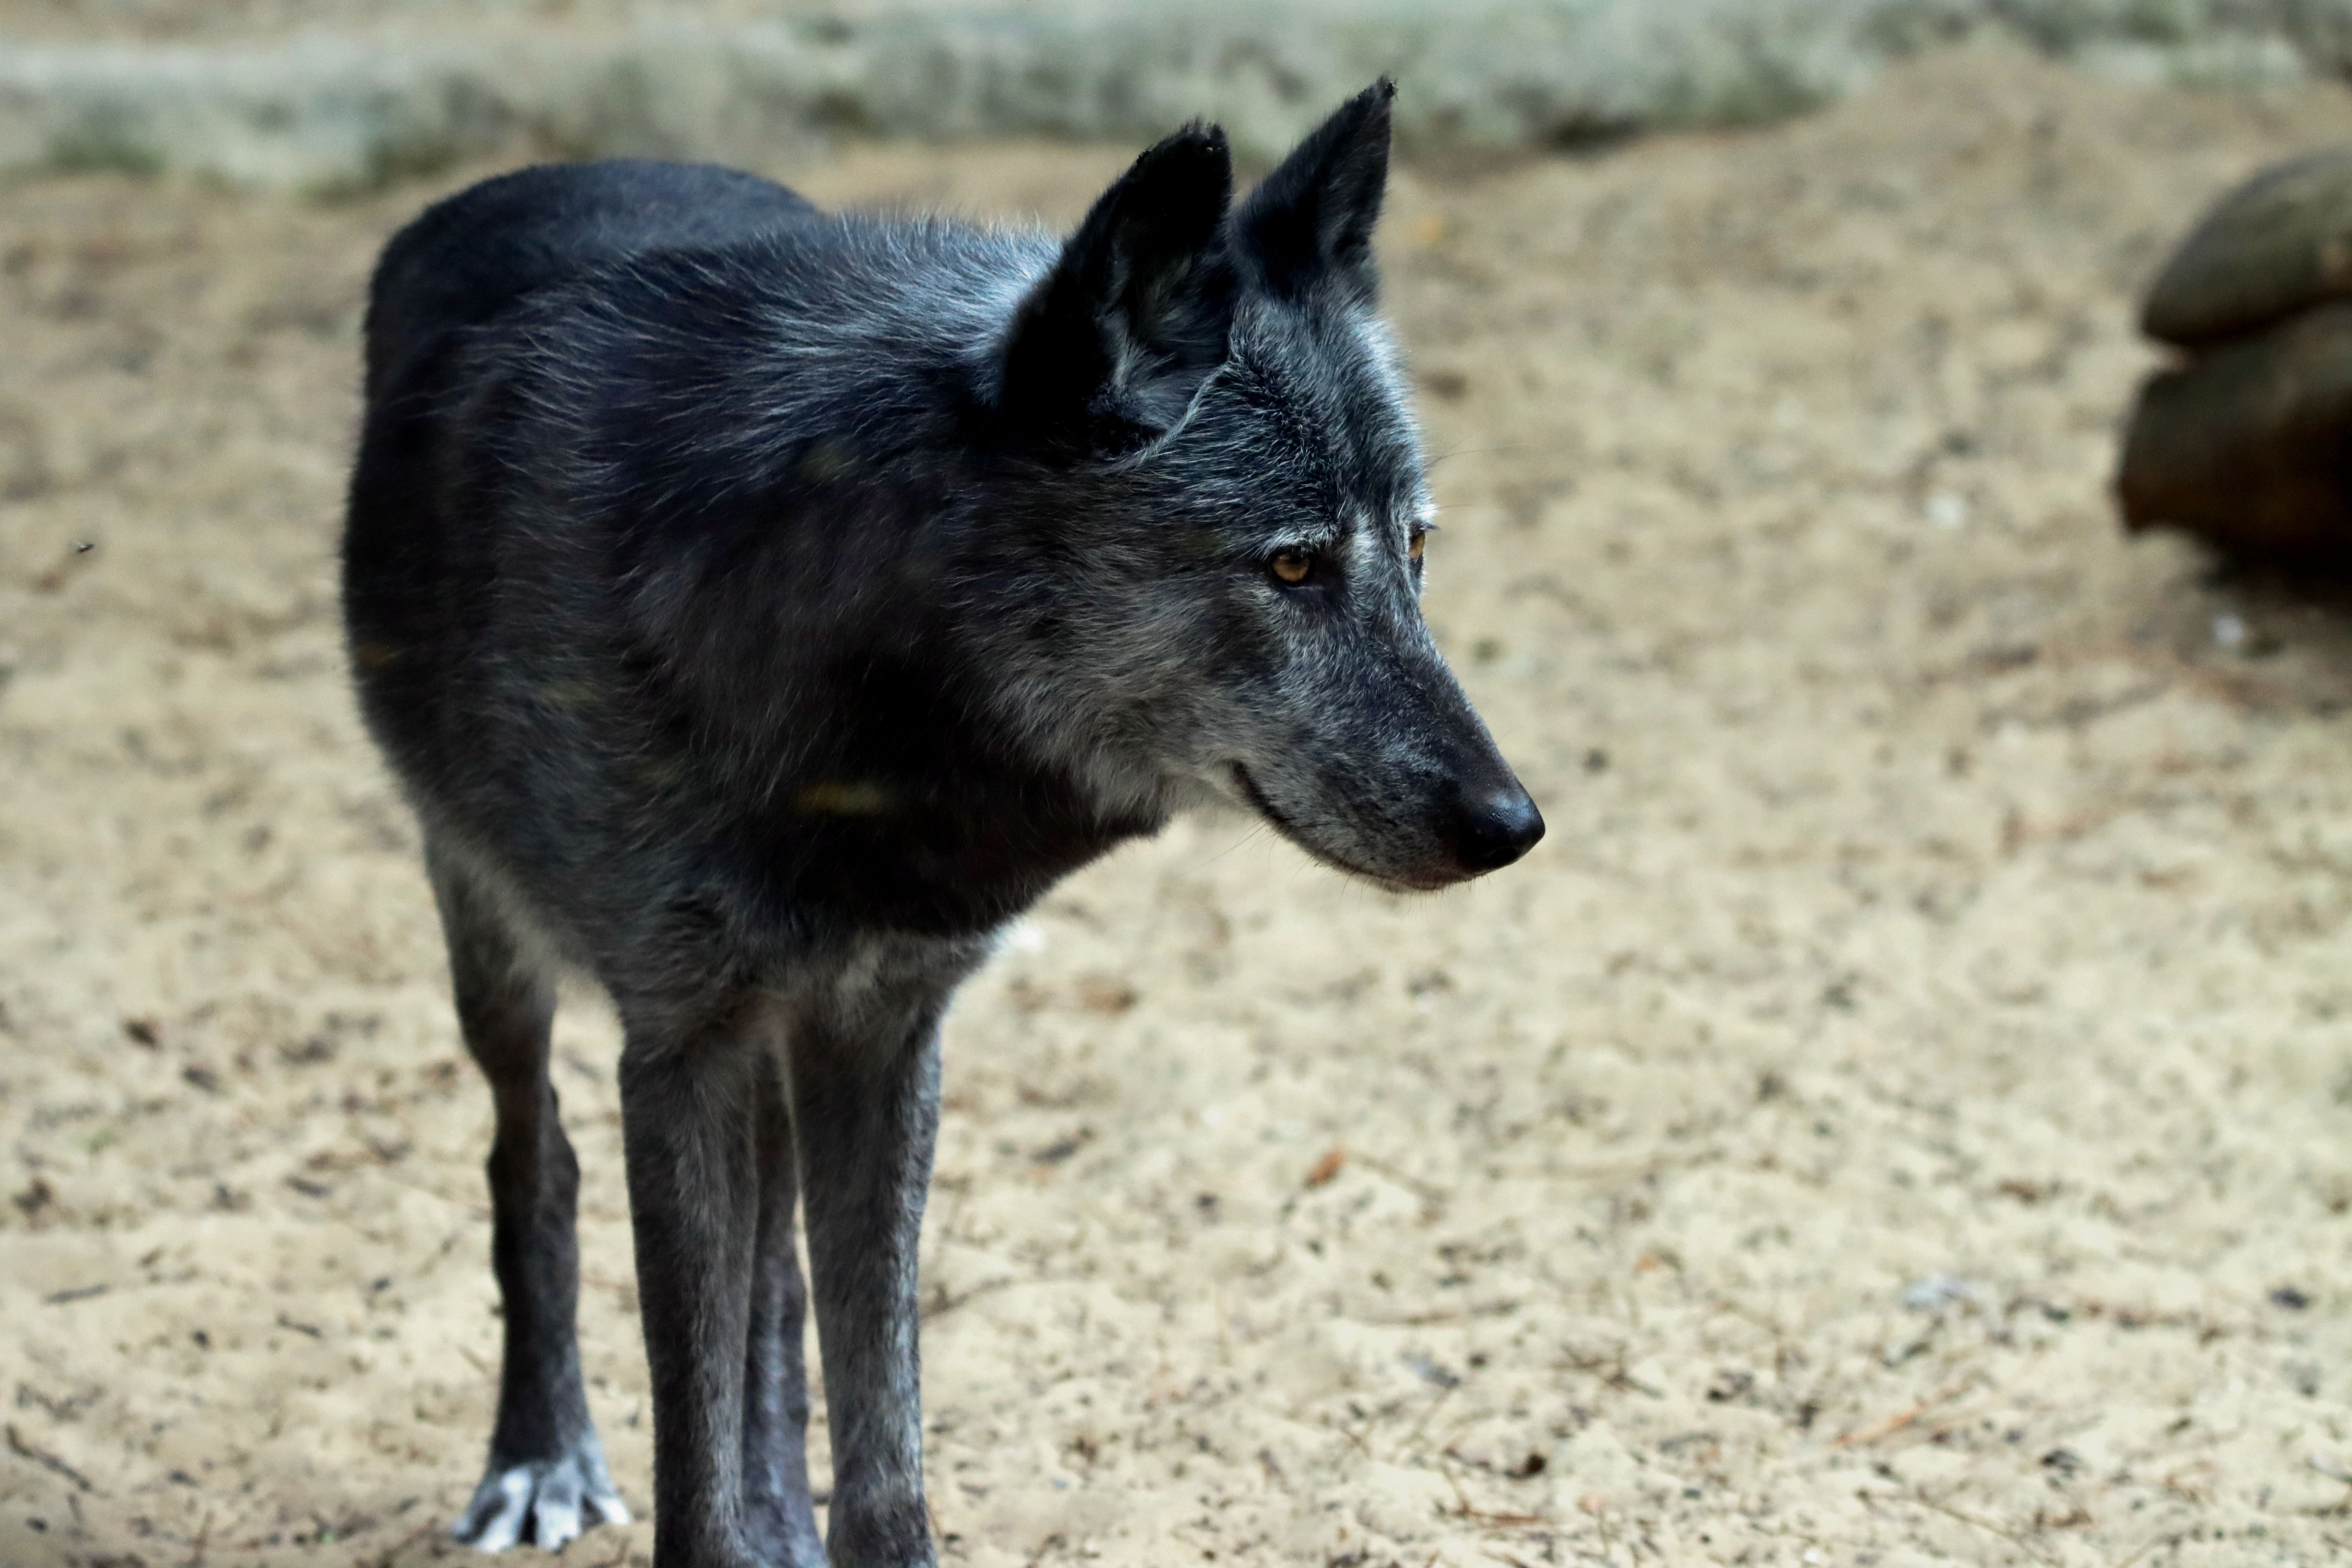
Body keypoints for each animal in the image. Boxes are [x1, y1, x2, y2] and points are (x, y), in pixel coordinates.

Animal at [342, 80, 1542, 1568]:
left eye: (1417, 548)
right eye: (1290, 564)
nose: (1511, 822)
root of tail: (543, 173)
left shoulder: (883, 1025)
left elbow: (877, 1420)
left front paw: (818, 1513)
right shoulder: (680, 1045)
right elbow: (696, 1440)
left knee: (774, 1276)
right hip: (494, 942)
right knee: (534, 1160)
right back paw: (539, 1457)